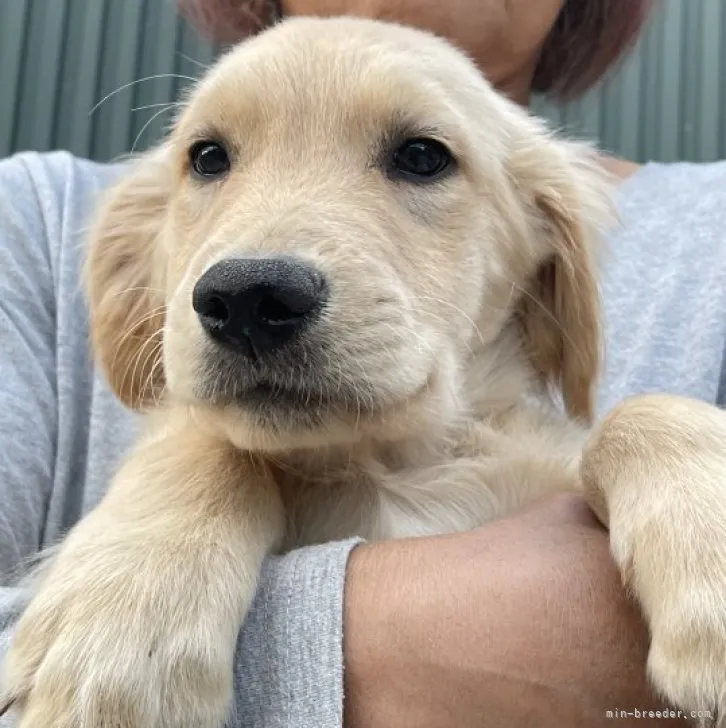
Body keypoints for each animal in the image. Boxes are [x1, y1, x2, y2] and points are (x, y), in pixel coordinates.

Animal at [4, 12, 726, 728]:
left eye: (423, 156)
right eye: (207, 158)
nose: (247, 299)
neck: (392, 464)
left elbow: (636, 413)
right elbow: (207, 439)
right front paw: (115, 632)